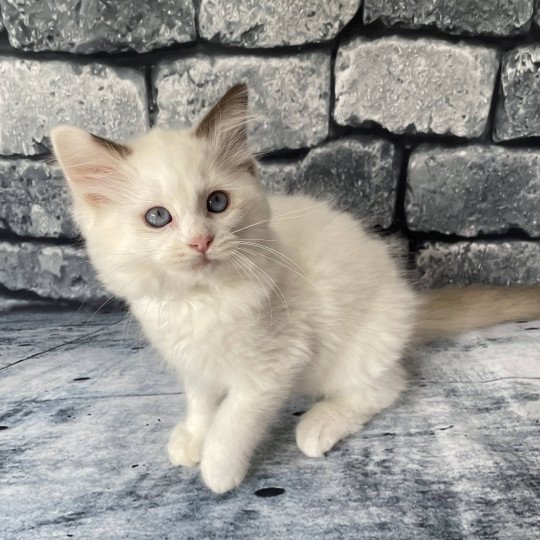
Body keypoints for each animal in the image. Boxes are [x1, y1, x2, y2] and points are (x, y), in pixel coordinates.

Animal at [50, 83, 540, 494]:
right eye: (157, 218)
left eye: (216, 203)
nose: (200, 241)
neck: (202, 299)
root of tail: (410, 302)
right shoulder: (194, 363)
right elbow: (202, 404)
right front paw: (193, 439)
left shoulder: (274, 366)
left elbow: (233, 419)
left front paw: (217, 469)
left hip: (352, 351)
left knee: (385, 386)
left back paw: (317, 426)